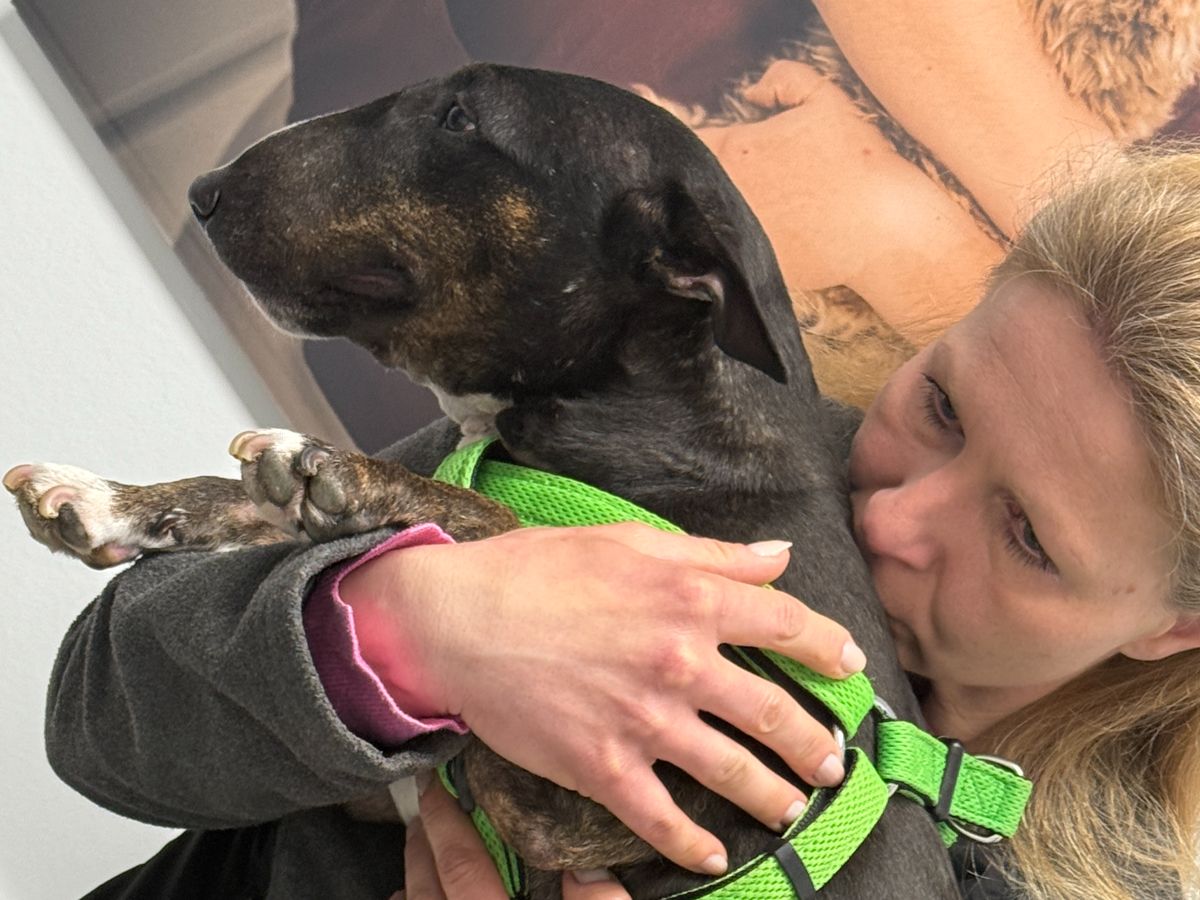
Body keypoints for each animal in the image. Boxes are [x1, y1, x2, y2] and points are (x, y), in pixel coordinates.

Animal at [6, 65, 962, 899]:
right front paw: (111, 501)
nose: (205, 190)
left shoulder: (719, 785)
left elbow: (522, 531)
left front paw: (345, 472)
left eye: (462, 119)